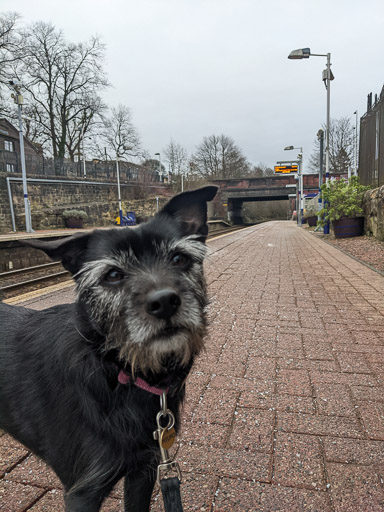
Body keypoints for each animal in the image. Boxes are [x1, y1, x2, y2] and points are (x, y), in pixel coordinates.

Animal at [0, 186, 216, 510]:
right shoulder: (83, 492)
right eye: (113, 275)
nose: (165, 302)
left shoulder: (144, 469)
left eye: (179, 258)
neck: (118, 373)